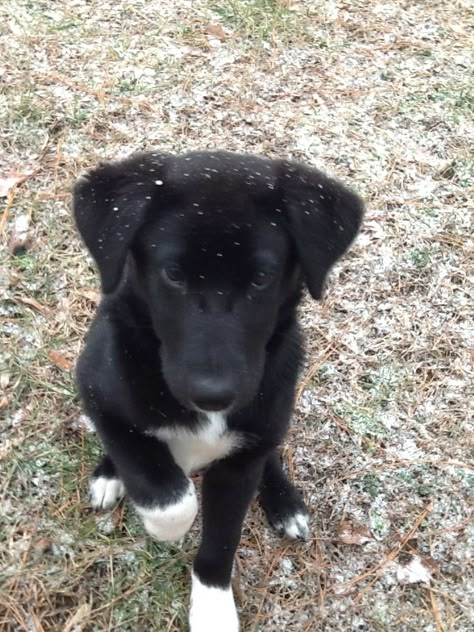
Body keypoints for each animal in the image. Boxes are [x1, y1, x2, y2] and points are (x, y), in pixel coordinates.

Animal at [73, 151, 362, 628]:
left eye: (262, 279)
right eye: (173, 274)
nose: (214, 395)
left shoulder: (239, 466)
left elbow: (221, 540)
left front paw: (212, 610)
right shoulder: (98, 392)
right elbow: (168, 493)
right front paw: (163, 524)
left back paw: (286, 504)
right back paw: (110, 475)